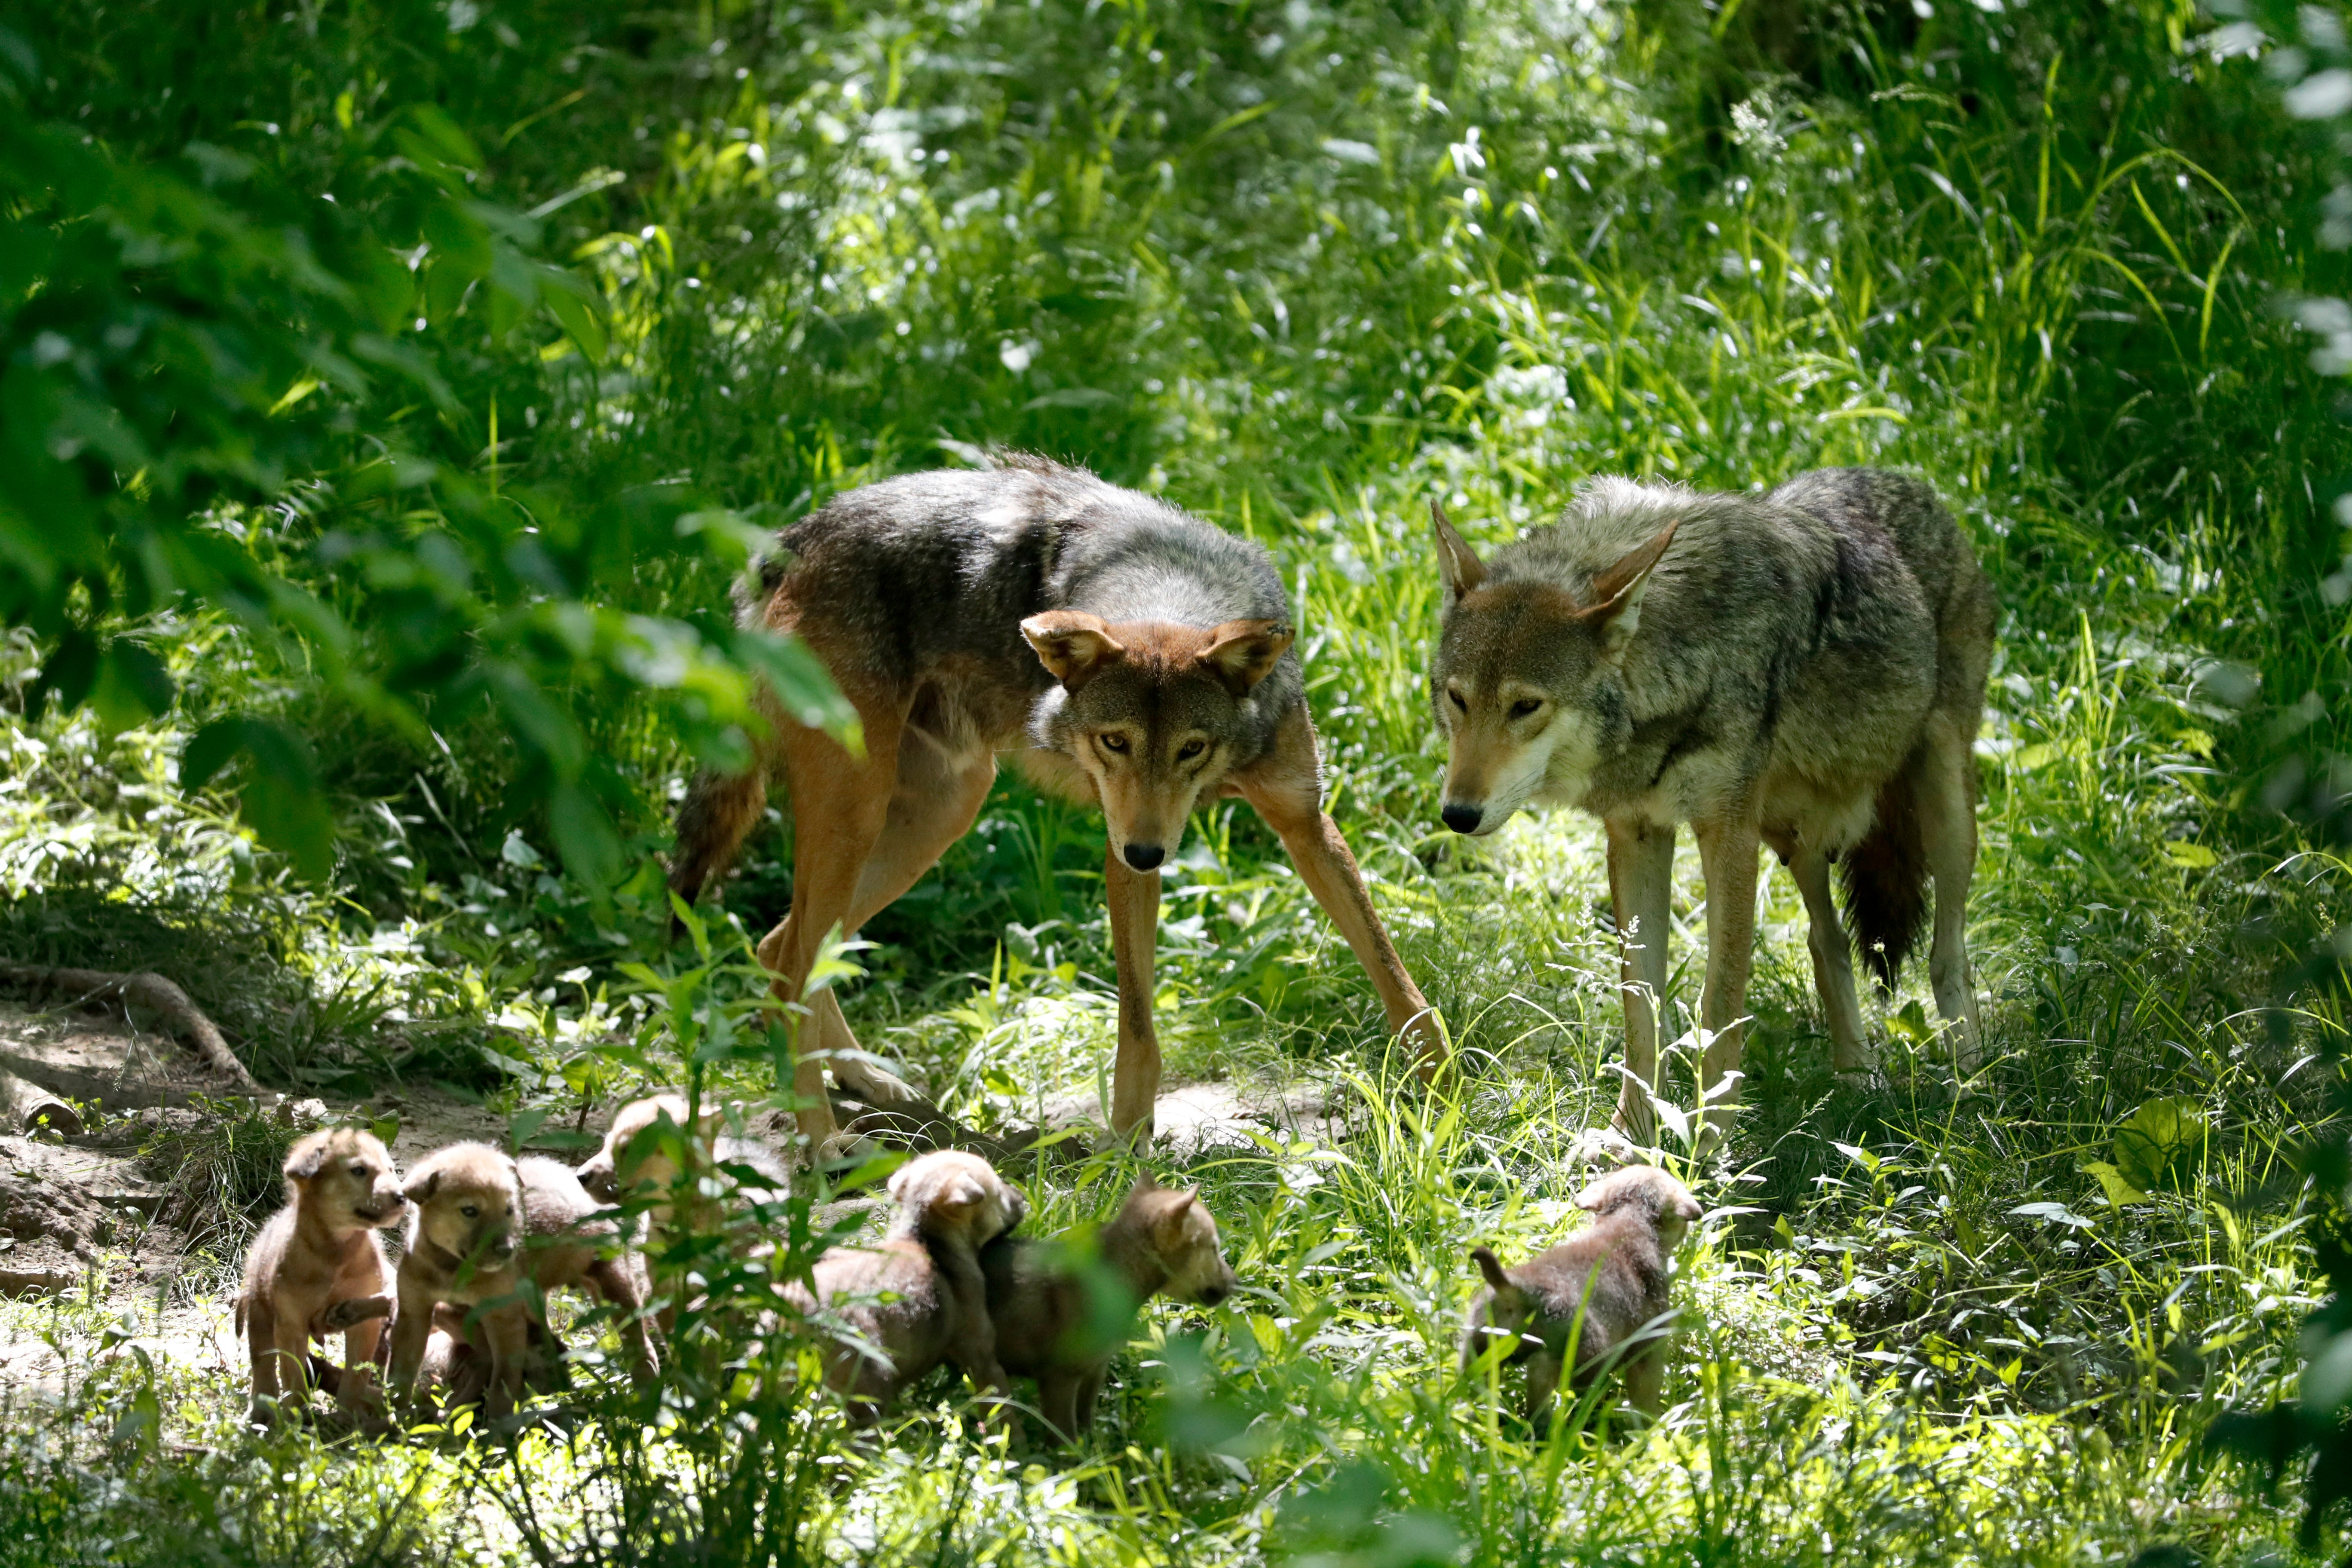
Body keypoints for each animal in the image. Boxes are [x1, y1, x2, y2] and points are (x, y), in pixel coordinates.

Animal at [672, 453, 1439, 1152]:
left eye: (1191, 748)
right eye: (1114, 742)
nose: (1149, 851)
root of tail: (792, 538)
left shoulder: (1302, 821)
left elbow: (1395, 977)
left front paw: (1441, 1083)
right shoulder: (1120, 849)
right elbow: (1138, 1022)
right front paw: (1126, 1147)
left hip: (940, 816)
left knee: (777, 946)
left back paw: (872, 1083)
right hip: (860, 818)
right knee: (787, 969)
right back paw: (821, 1142)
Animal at [1421, 465, 1994, 1142]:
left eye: (1525, 706)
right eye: (1458, 698)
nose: (1458, 815)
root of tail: (1913, 484)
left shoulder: (1727, 835)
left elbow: (1717, 1003)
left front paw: (1711, 1141)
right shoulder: (1637, 835)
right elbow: (1641, 1004)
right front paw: (1632, 1136)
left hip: (1944, 819)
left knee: (1947, 953)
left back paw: (1971, 1083)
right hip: (1793, 838)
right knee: (1826, 944)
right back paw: (1860, 1077)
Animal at [1458, 1161, 1703, 1429]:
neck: (1629, 1225)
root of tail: (1513, 1287)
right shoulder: (1649, 1349)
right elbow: (1645, 1401)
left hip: (1476, 1354)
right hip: (1576, 1357)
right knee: (1539, 1400)